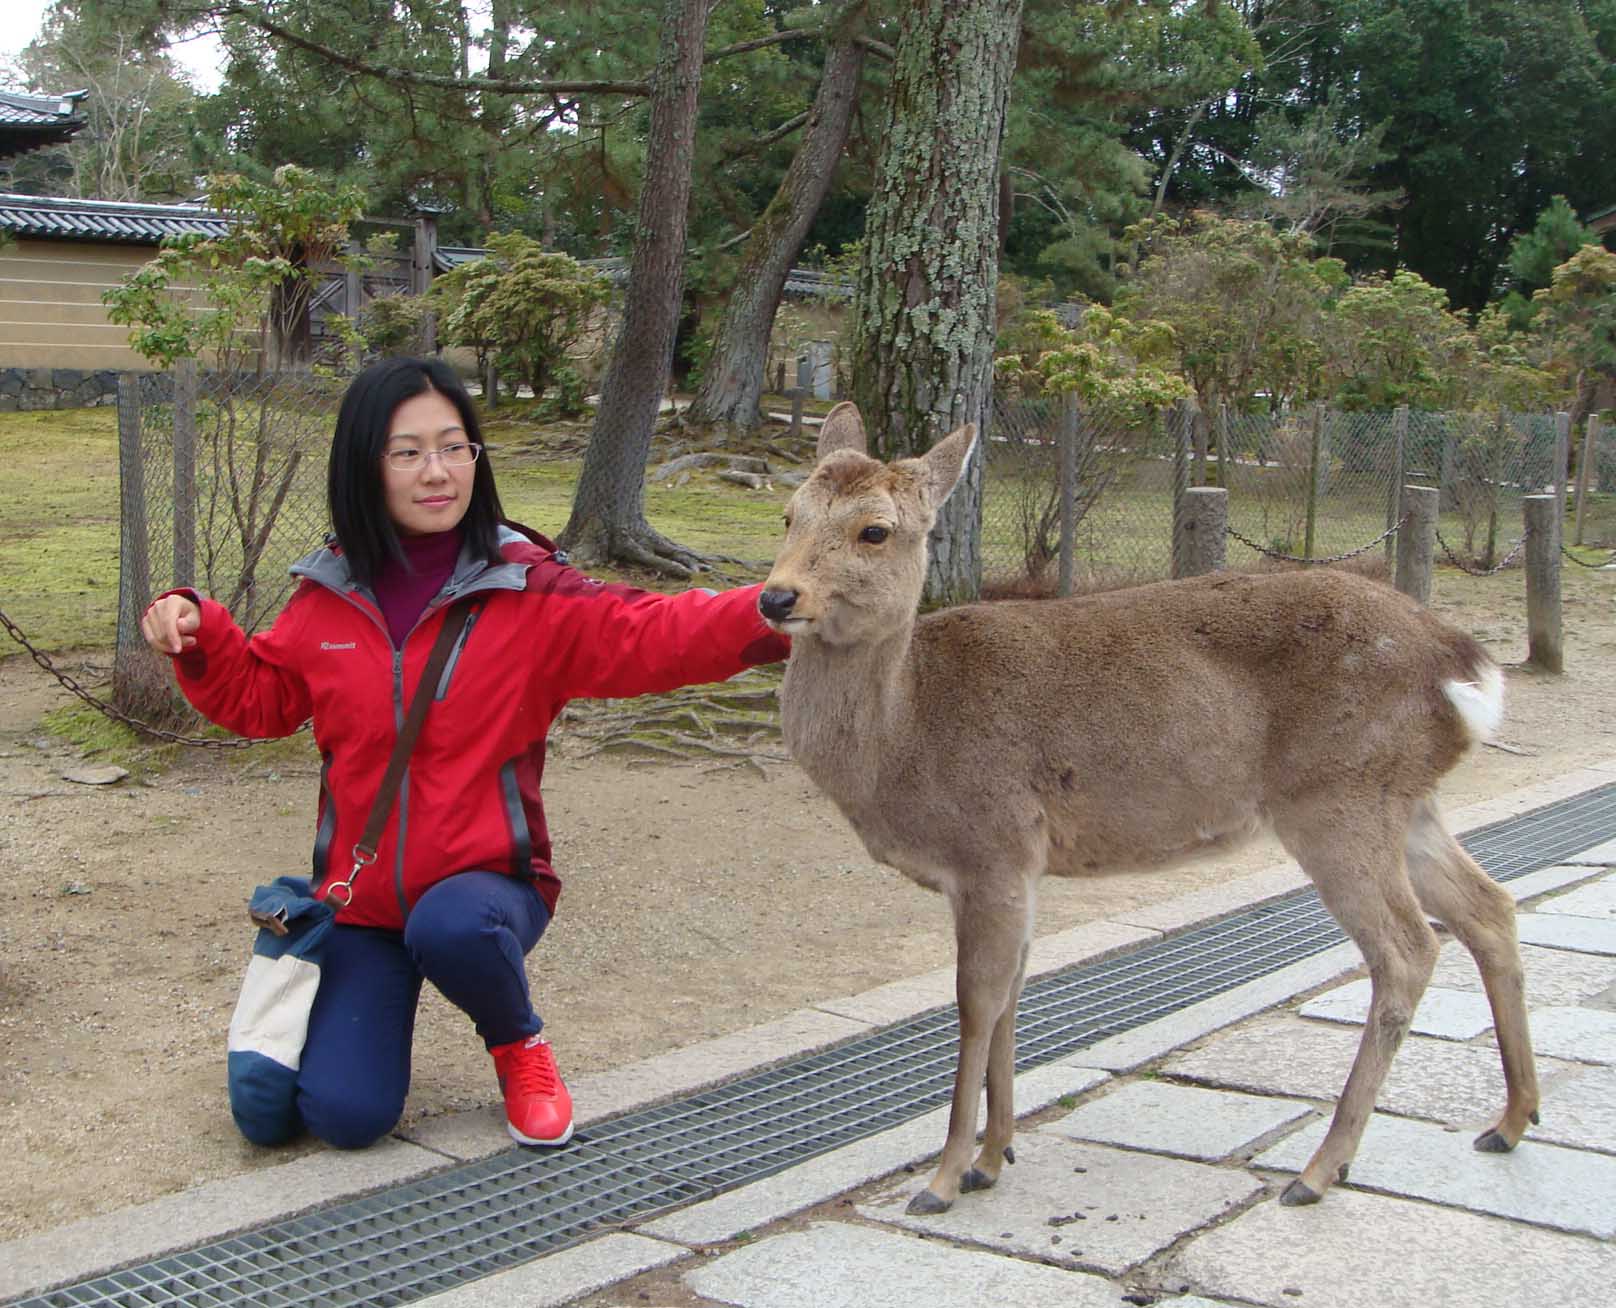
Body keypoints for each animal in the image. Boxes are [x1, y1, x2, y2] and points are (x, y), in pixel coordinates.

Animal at [756, 400, 1538, 1215]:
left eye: (875, 530)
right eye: (789, 514)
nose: (776, 597)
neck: (905, 734)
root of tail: (1467, 668)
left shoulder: (992, 845)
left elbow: (975, 1003)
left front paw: (942, 1178)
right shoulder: (1022, 867)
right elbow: (1013, 995)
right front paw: (994, 1157)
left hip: (1337, 796)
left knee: (1408, 948)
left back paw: (1321, 1168)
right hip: (1406, 800)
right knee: (1489, 906)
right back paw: (1509, 1121)